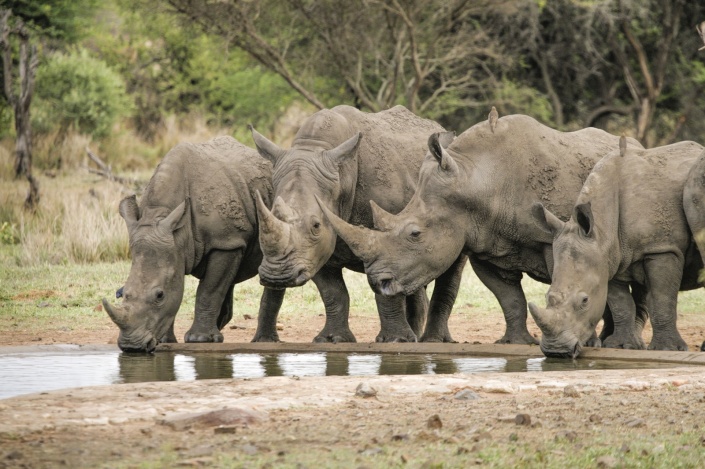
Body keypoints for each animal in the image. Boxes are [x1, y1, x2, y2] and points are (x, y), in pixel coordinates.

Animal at [103, 136, 279, 353]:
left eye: (159, 295)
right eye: (121, 294)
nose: (131, 347)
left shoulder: (225, 242)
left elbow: (209, 290)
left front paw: (199, 339)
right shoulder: (175, 245)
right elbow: (181, 289)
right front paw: (166, 341)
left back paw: (261, 341)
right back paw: (219, 333)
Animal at [249, 105, 467, 343]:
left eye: (316, 225)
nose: (276, 277)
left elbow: (386, 290)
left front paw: (395, 340)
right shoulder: (317, 249)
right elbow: (333, 293)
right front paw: (332, 339)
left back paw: (432, 341)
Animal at [317, 114, 643, 345]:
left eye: (415, 234)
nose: (378, 281)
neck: (477, 180)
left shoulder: (559, 237)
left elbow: (572, 281)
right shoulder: (486, 244)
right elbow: (510, 298)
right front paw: (515, 343)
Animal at [530, 138, 705, 357]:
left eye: (585, 301)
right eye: (547, 297)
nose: (556, 351)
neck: (602, 229)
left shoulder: (662, 248)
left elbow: (662, 297)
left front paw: (668, 348)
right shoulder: (608, 256)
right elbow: (620, 303)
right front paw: (622, 346)